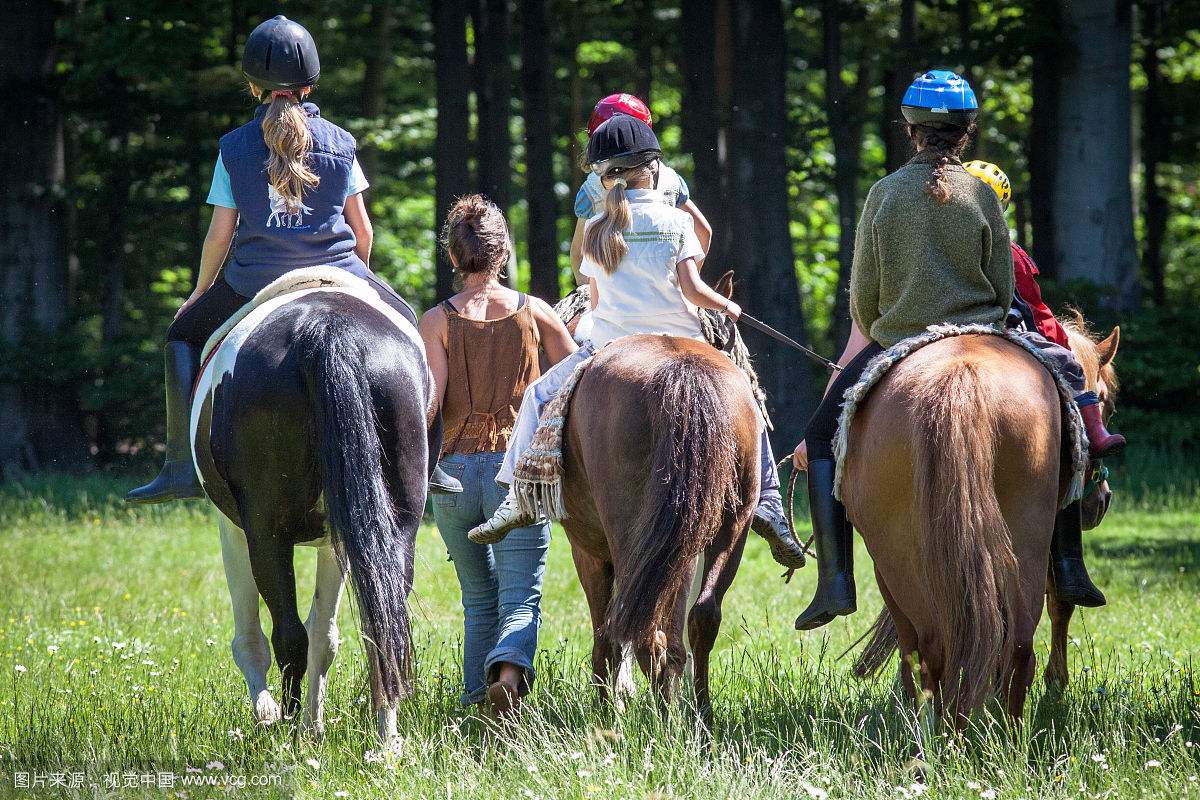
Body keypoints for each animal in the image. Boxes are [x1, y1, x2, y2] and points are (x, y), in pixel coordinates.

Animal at [187, 267, 432, 743]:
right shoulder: (340, 538)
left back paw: (286, 727)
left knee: (287, 635)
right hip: (393, 528)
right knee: (383, 626)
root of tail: (326, 329)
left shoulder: (234, 529)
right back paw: (386, 738)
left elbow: (253, 637)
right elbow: (327, 635)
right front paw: (314, 724)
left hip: (266, 534)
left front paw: (273, 715)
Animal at [554, 331, 758, 719]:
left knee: (644, 633)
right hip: (726, 527)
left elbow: (605, 635)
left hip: (630, 539)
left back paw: (660, 719)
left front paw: (609, 708)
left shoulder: (588, 553)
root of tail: (683, 371)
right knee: (701, 617)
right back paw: (698, 717)